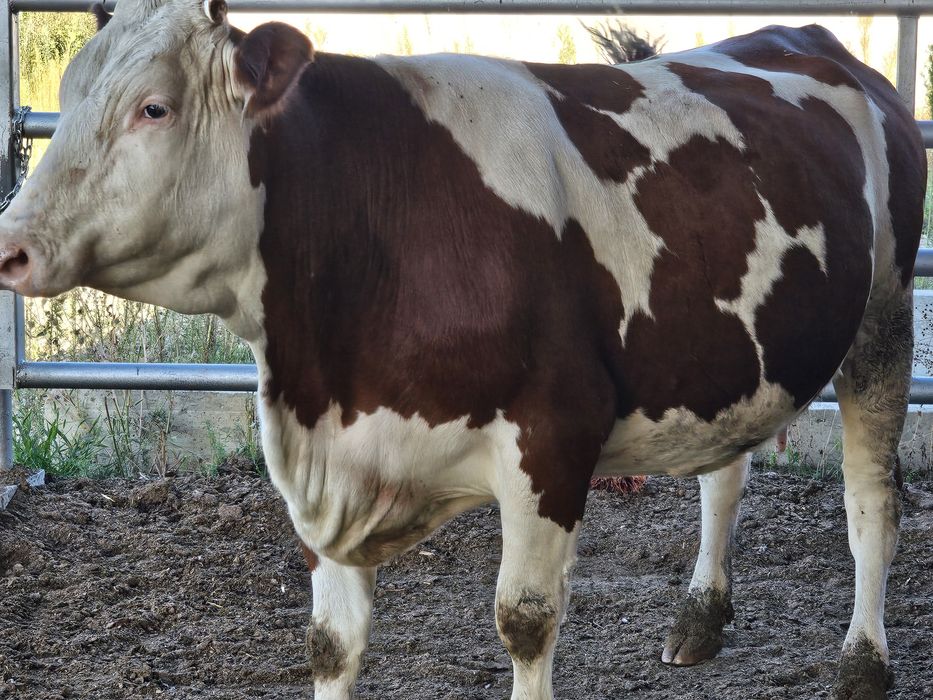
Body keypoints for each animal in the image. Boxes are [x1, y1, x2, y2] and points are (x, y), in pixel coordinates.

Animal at [0, 2, 924, 699]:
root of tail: (814, 39)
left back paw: (862, 664)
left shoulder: (551, 441)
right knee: (723, 475)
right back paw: (698, 617)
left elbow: (524, 620)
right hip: (724, 351)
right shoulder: (324, 467)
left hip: (881, 319)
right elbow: (330, 641)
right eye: (70, 94)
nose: (11, 245)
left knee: (870, 501)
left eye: (153, 107)